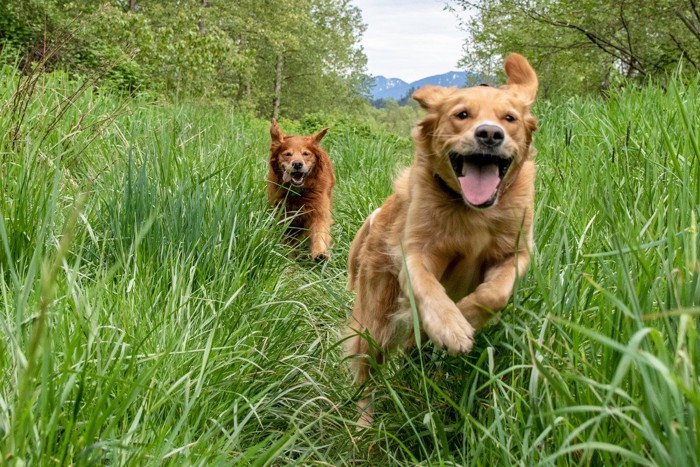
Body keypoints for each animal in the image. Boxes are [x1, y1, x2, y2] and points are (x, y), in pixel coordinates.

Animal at [266, 119, 334, 262]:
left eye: (306, 154)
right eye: (287, 154)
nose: (297, 164)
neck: (297, 192)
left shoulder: (318, 209)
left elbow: (319, 230)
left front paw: (320, 253)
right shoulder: (283, 214)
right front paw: (289, 255)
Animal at [348, 53, 540, 426]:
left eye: (509, 118)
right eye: (461, 115)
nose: (490, 134)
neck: (472, 211)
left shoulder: (516, 252)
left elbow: (496, 293)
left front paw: (466, 314)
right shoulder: (414, 252)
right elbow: (428, 287)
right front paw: (451, 326)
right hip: (375, 320)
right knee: (367, 372)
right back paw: (363, 423)